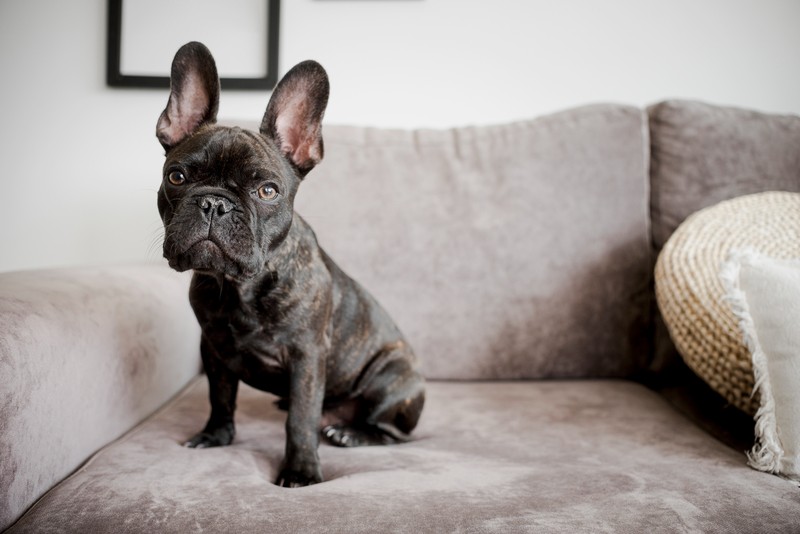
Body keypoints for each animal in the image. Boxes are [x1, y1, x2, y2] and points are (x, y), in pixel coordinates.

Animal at [159, 44, 428, 490]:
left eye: (267, 191)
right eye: (177, 176)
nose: (214, 203)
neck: (240, 286)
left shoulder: (306, 357)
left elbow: (301, 419)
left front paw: (300, 470)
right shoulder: (213, 348)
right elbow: (220, 396)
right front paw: (215, 436)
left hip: (392, 379)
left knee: (391, 431)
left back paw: (352, 433)